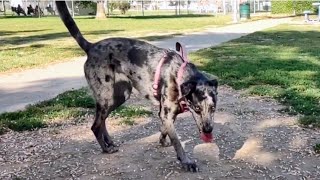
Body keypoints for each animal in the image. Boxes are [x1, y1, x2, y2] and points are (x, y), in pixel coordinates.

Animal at [56, 0, 219, 172]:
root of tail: (91, 47)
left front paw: (163, 141)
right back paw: (106, 148)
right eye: (197, 108)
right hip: (106, 97)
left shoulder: (166, 114)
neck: (179, 74)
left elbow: (165, 130)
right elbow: (177, 142)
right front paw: (186, 161)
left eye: (213, 108)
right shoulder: (166, 113)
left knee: (103, 121)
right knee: (95, 126)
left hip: (118, 96)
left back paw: (110, 143)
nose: (208, 130)